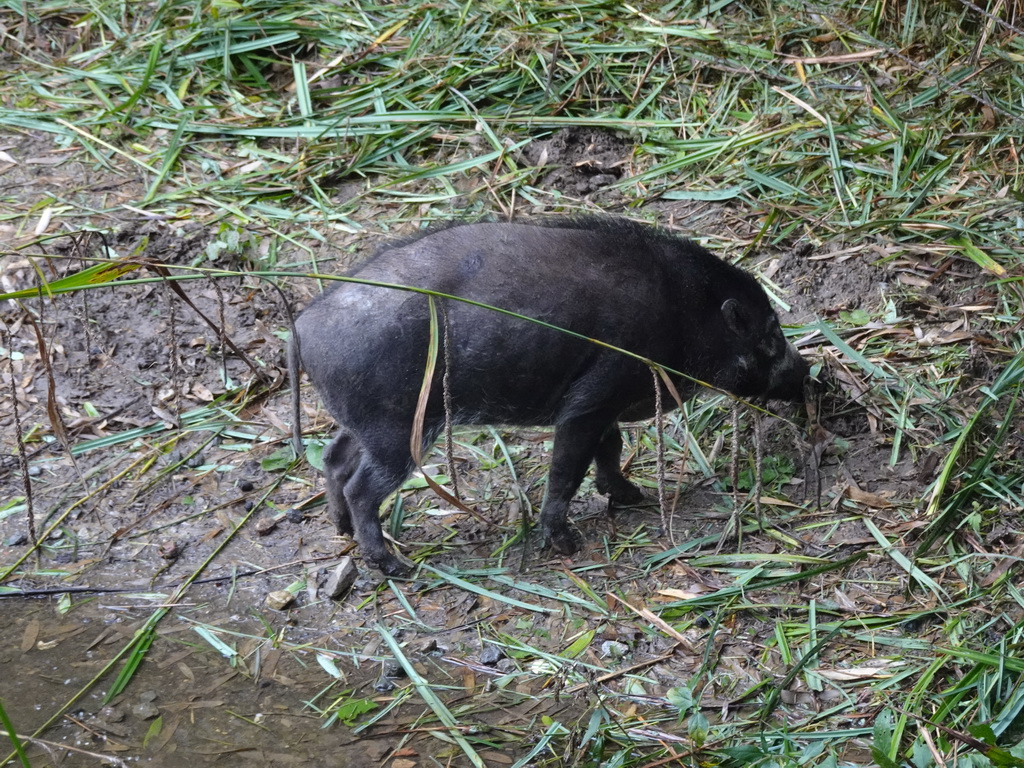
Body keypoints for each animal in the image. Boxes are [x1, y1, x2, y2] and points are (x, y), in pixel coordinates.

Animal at [290, 218, 806, 577]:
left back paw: (340, 529)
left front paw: (630, 495)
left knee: (335, 459)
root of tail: (301, 328)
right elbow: (568, 470)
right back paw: (395, 566)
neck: (684, 313)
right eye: (770, 335)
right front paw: (566, 545)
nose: (809, 376)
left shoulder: (604, 406)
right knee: (362, 487)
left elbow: (611, 448)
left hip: (364, 425)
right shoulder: (590, 402)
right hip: (398, 433)